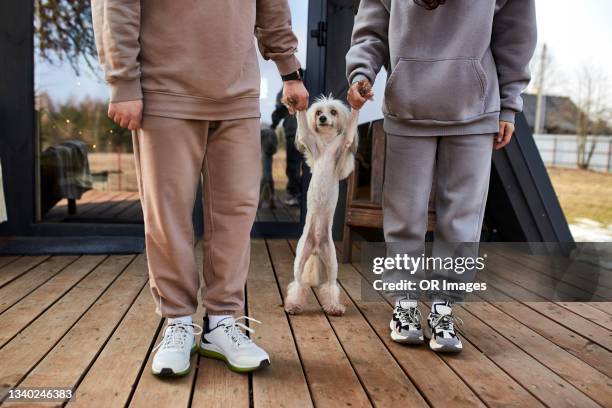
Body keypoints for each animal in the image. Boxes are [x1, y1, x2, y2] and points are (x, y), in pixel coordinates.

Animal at [284, 96, 358, 316]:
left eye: (333, 111)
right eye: (318, 112)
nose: (323, 118)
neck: (325, 145)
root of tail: (316, 246)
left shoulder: (344, 144)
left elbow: (349, 130)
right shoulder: (309, 141)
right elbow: (303, 127)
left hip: (332, 260)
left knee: (331, 285)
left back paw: (333, 307)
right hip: (301, 256)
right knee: (298, 282)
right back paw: (293, 305)